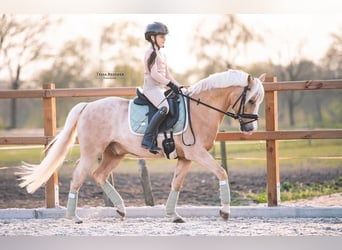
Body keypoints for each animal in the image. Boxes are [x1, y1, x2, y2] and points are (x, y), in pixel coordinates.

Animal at [16, 69, 264, 224]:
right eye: (251, 100)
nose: (250, 129)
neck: (200, 109)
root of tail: (87, 106)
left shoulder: (186, 158)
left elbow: (176, 184)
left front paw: (173, 215)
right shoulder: (197, 153)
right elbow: (222, 172)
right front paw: (224, 212)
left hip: (114, 154)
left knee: (99, 175)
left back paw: (120, 209)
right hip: (91, 153)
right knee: (78, 178)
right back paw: (74, 218)